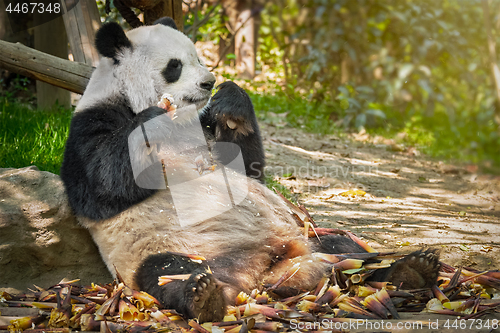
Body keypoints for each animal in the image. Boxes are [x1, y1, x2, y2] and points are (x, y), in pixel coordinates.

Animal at [59, 17, 442, 322]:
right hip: (163, 247)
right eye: (174, 66)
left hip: (309, 235)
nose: (208, 82)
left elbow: (247, 167)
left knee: (350, 251)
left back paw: (409, 270)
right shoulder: (90, 124)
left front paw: (231, 101)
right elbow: (101, 185)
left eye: (199, 57)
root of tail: (264, 271)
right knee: (168, 271)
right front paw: (153, 123)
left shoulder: (204, 126)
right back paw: (204, 297)